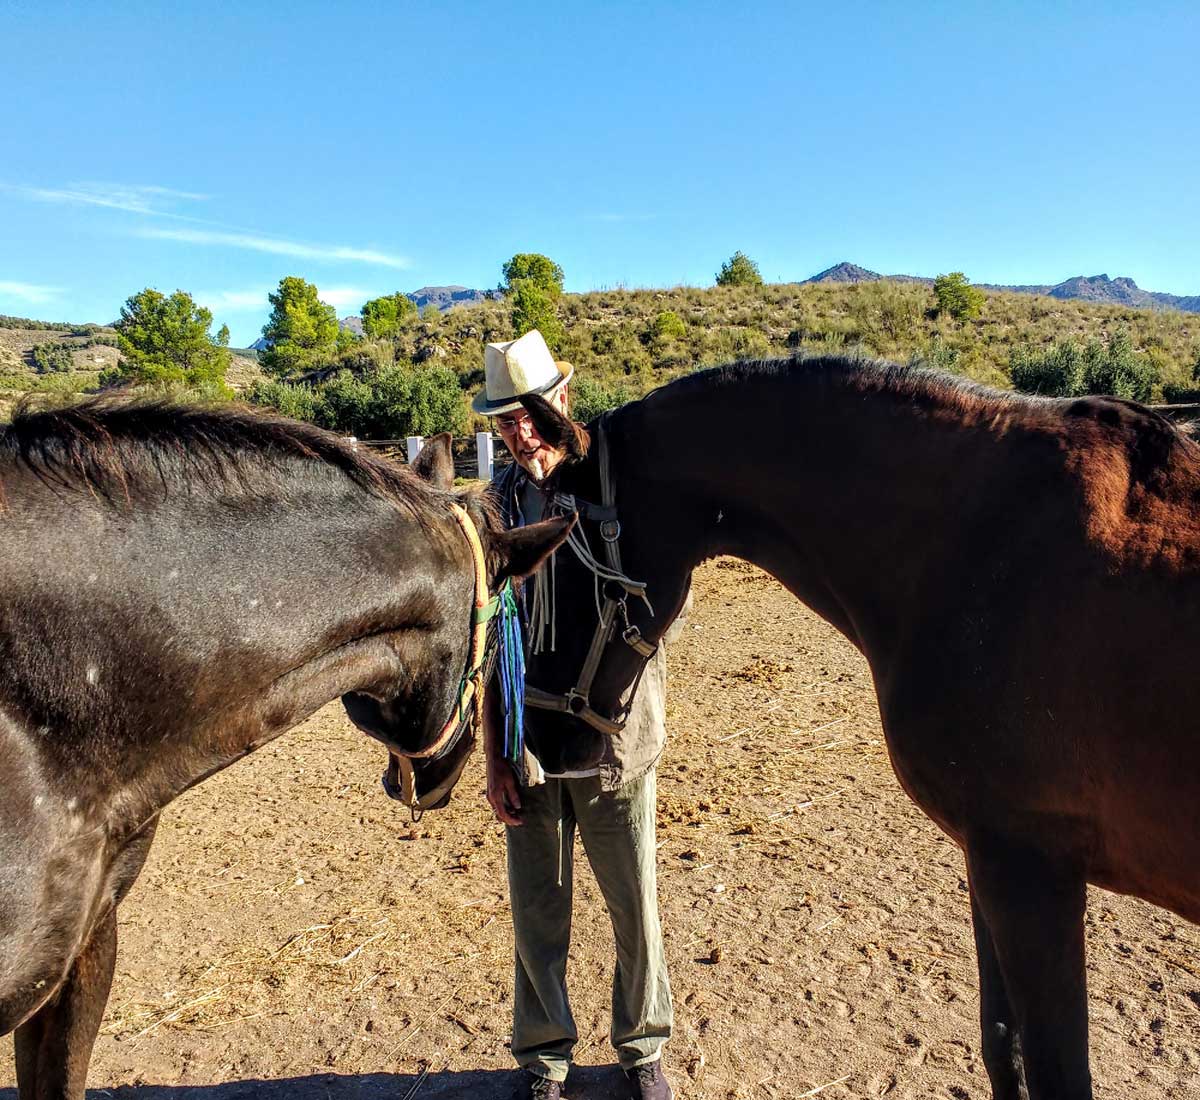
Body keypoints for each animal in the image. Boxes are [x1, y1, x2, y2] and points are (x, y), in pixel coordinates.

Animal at [512, 354, 1200, 1100]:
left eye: (559, 569)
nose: (541, 741)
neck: (980, 547)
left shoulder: (1030, 870)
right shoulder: (989, 857)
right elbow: (1002, 1048)